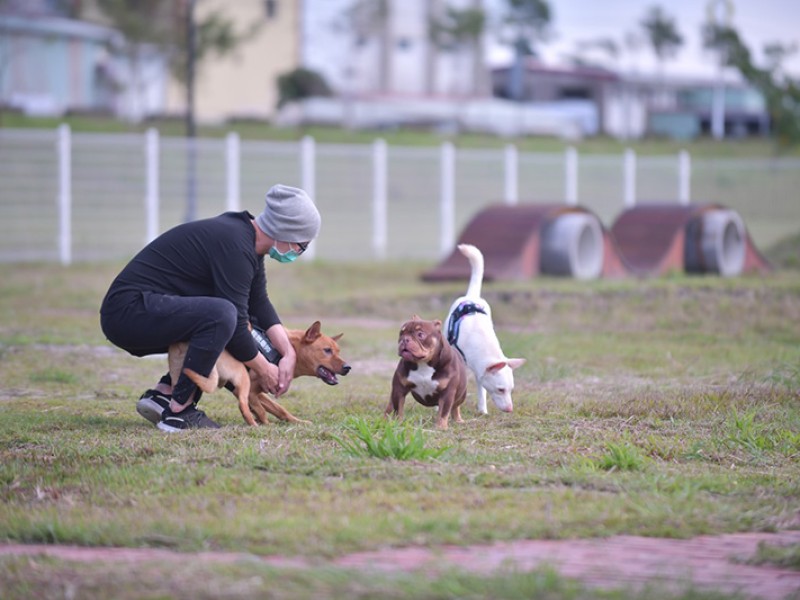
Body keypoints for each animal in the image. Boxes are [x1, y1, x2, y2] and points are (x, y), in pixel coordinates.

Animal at [167, 322, 348, 424]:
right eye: (327, 350)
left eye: (338, 351)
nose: (348, 367)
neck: (283, 350)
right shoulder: (250, 391)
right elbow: (261, 410)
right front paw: (266, 425)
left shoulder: (258, 392)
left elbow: (279, 409)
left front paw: (297, 422)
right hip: (241, 376)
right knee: (242, 405)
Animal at [444, 243, 524, 412]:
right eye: (501, 389)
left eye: (511, 390)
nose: (510, 409)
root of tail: (472, 296)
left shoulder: (479, 372)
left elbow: (481, 391)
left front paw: (482, 410)